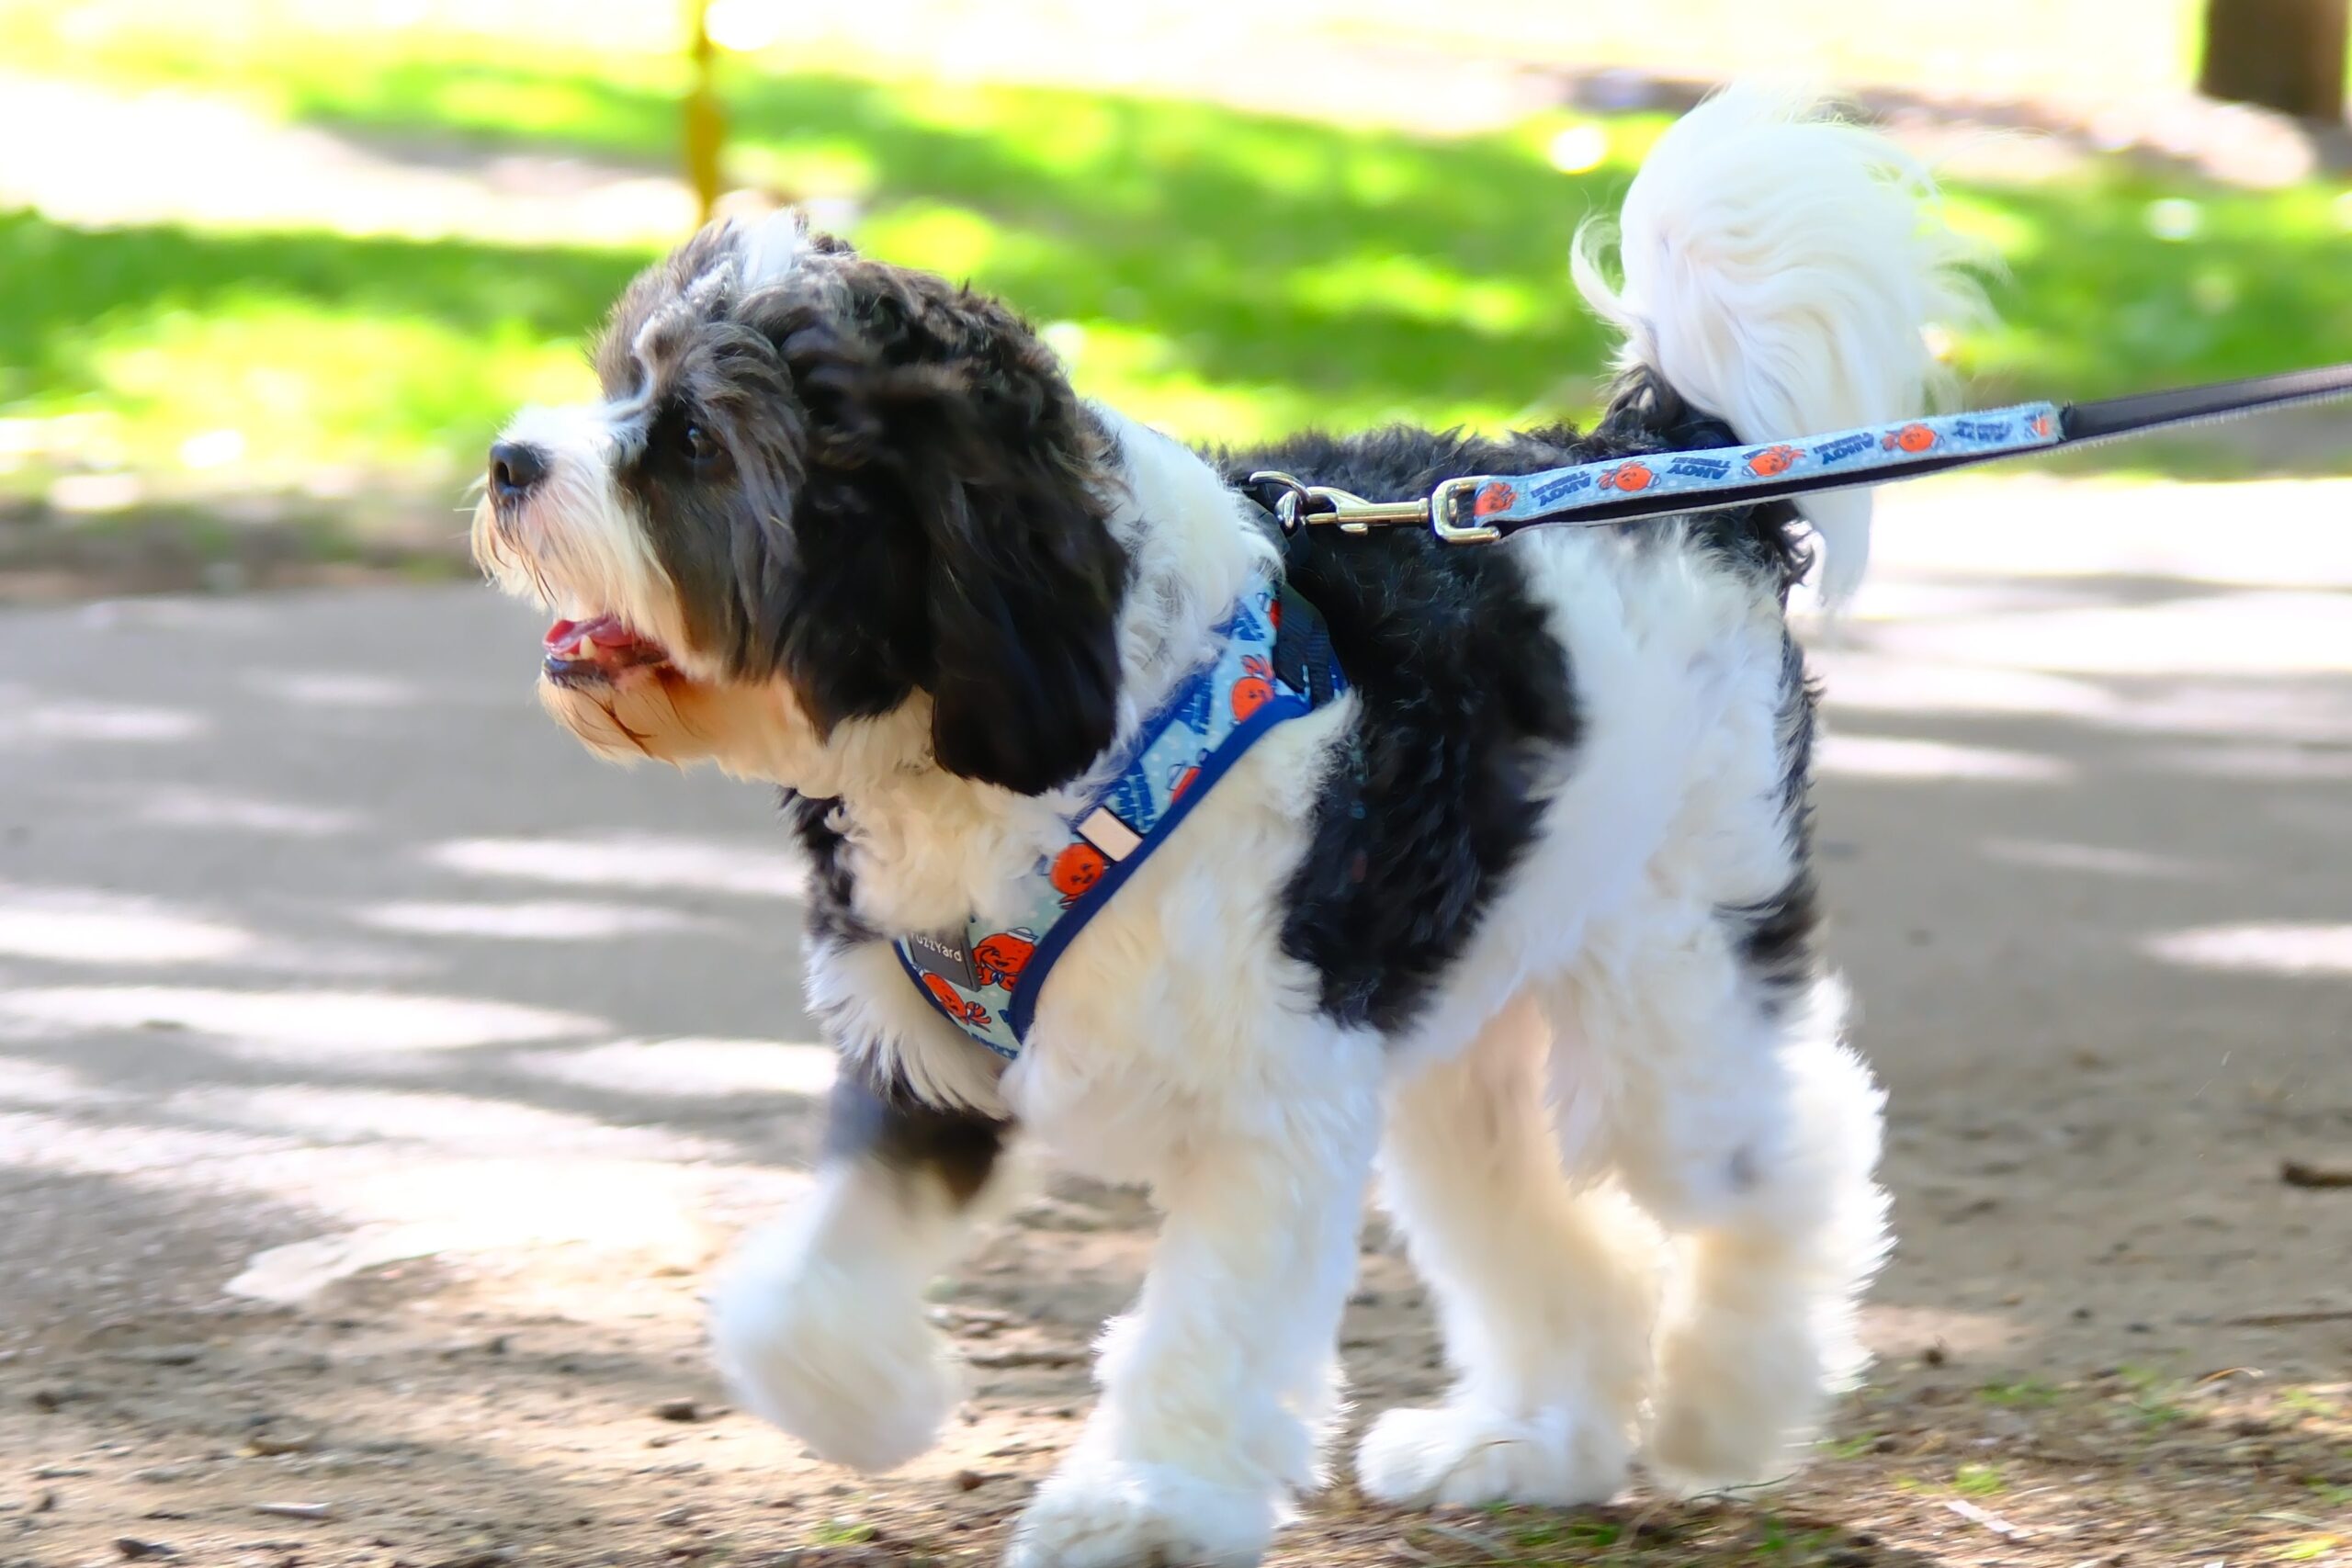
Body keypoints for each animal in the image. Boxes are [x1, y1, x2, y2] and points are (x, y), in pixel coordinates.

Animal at [474, 87, 1980, 1568]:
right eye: (618, 381)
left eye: (691, 439)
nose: (505, 459)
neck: (1077, 721)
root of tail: (1649, 464)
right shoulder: (927, 1063)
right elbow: (806, 1293)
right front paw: (875, 1397)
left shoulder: (1274, 1103)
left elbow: (1208, 1325)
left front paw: (1143, 1503)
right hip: (1466, 1033)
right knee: (1552, 1233)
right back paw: (1523, 1441)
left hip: (1670, 977)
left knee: (1793, 1153)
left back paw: (1732, 1401)